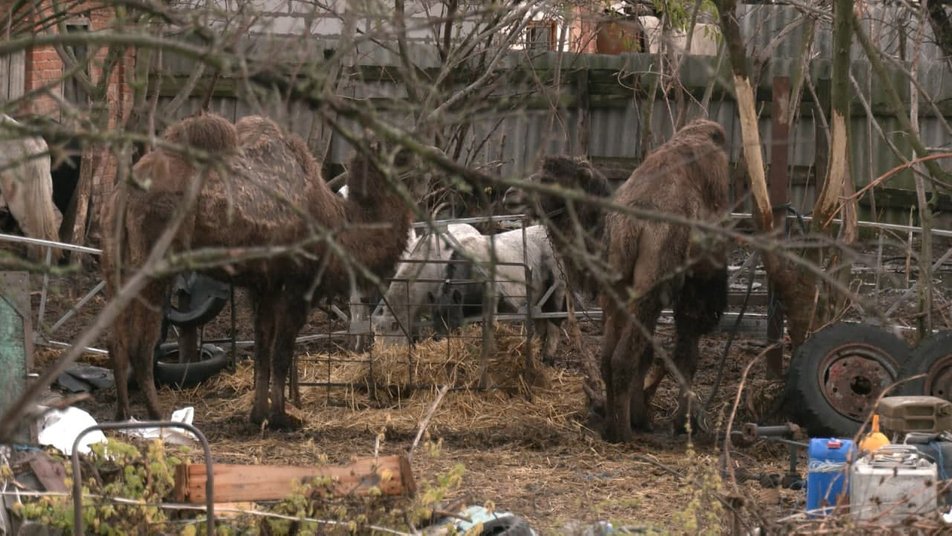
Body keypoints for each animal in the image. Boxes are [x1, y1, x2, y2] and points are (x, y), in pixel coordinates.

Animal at [103, 112, 412, 428]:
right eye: (394, 148)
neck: (338, 223)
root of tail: (126, 192)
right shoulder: (299, 284)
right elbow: (281, 352)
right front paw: (282, 417)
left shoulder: (265, 285)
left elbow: (263, 348)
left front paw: (259, 414)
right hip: (153, 264)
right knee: (141, 344)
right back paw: (157, 416)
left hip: (115, 259)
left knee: (116, 339)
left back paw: (122, 415)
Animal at [506, 119, 728, 442]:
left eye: (549, 178)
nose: (510, 192)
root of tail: (632, 225)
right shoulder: (695, 283)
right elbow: (686, 350)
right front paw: (678, 422)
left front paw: (646, 417)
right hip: (653, 284)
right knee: (625, 356)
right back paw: (623, 432)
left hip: (620, 287)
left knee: (610, 357)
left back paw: (617, 423)